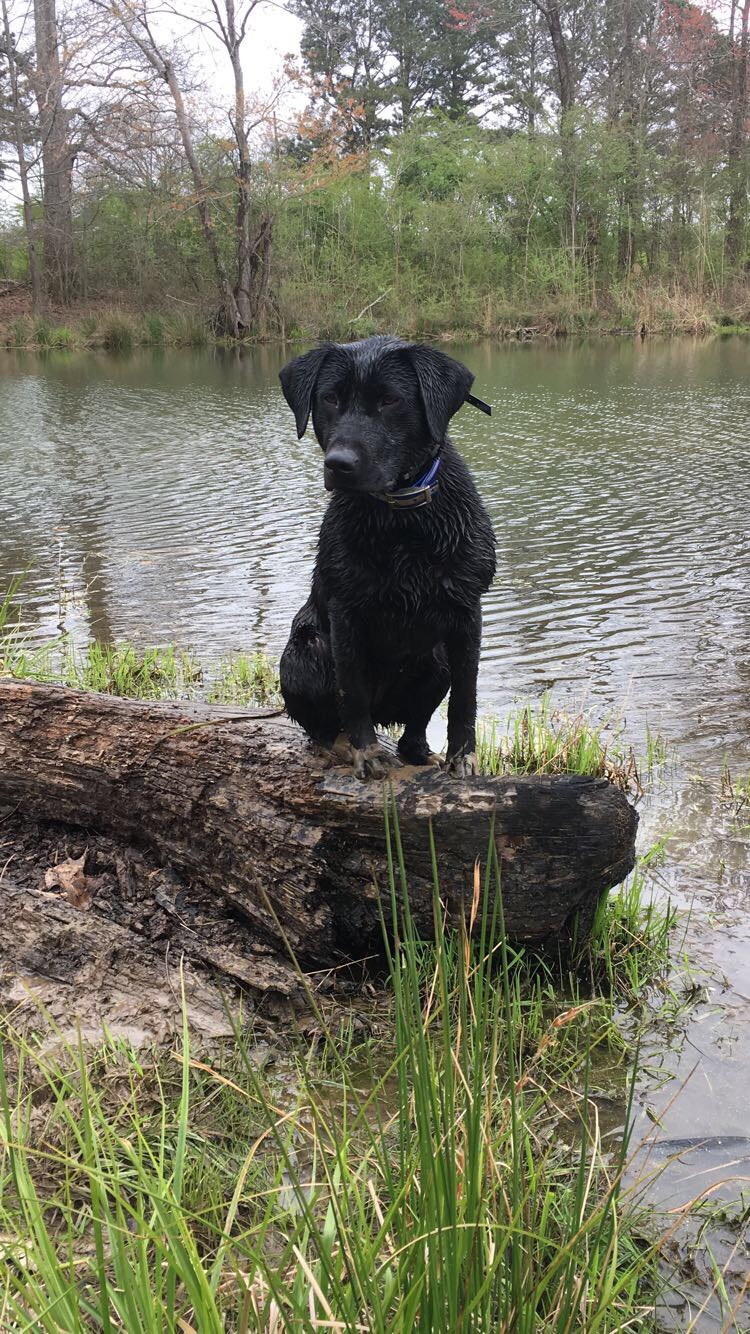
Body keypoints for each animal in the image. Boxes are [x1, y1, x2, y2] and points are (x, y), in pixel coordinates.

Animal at [277, 336, 493, 779]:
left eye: (390, 400)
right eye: (330, 398)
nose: (339, 464)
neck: (401, 522)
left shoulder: (467, 612)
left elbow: (465, 697)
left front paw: (463, 756)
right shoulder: (346, 613)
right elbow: (353, 692)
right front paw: (366, 751)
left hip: (436, 658)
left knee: (414, 730)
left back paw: (421, 752)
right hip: (306, 652)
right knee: (324, 727)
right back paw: (341, 744)